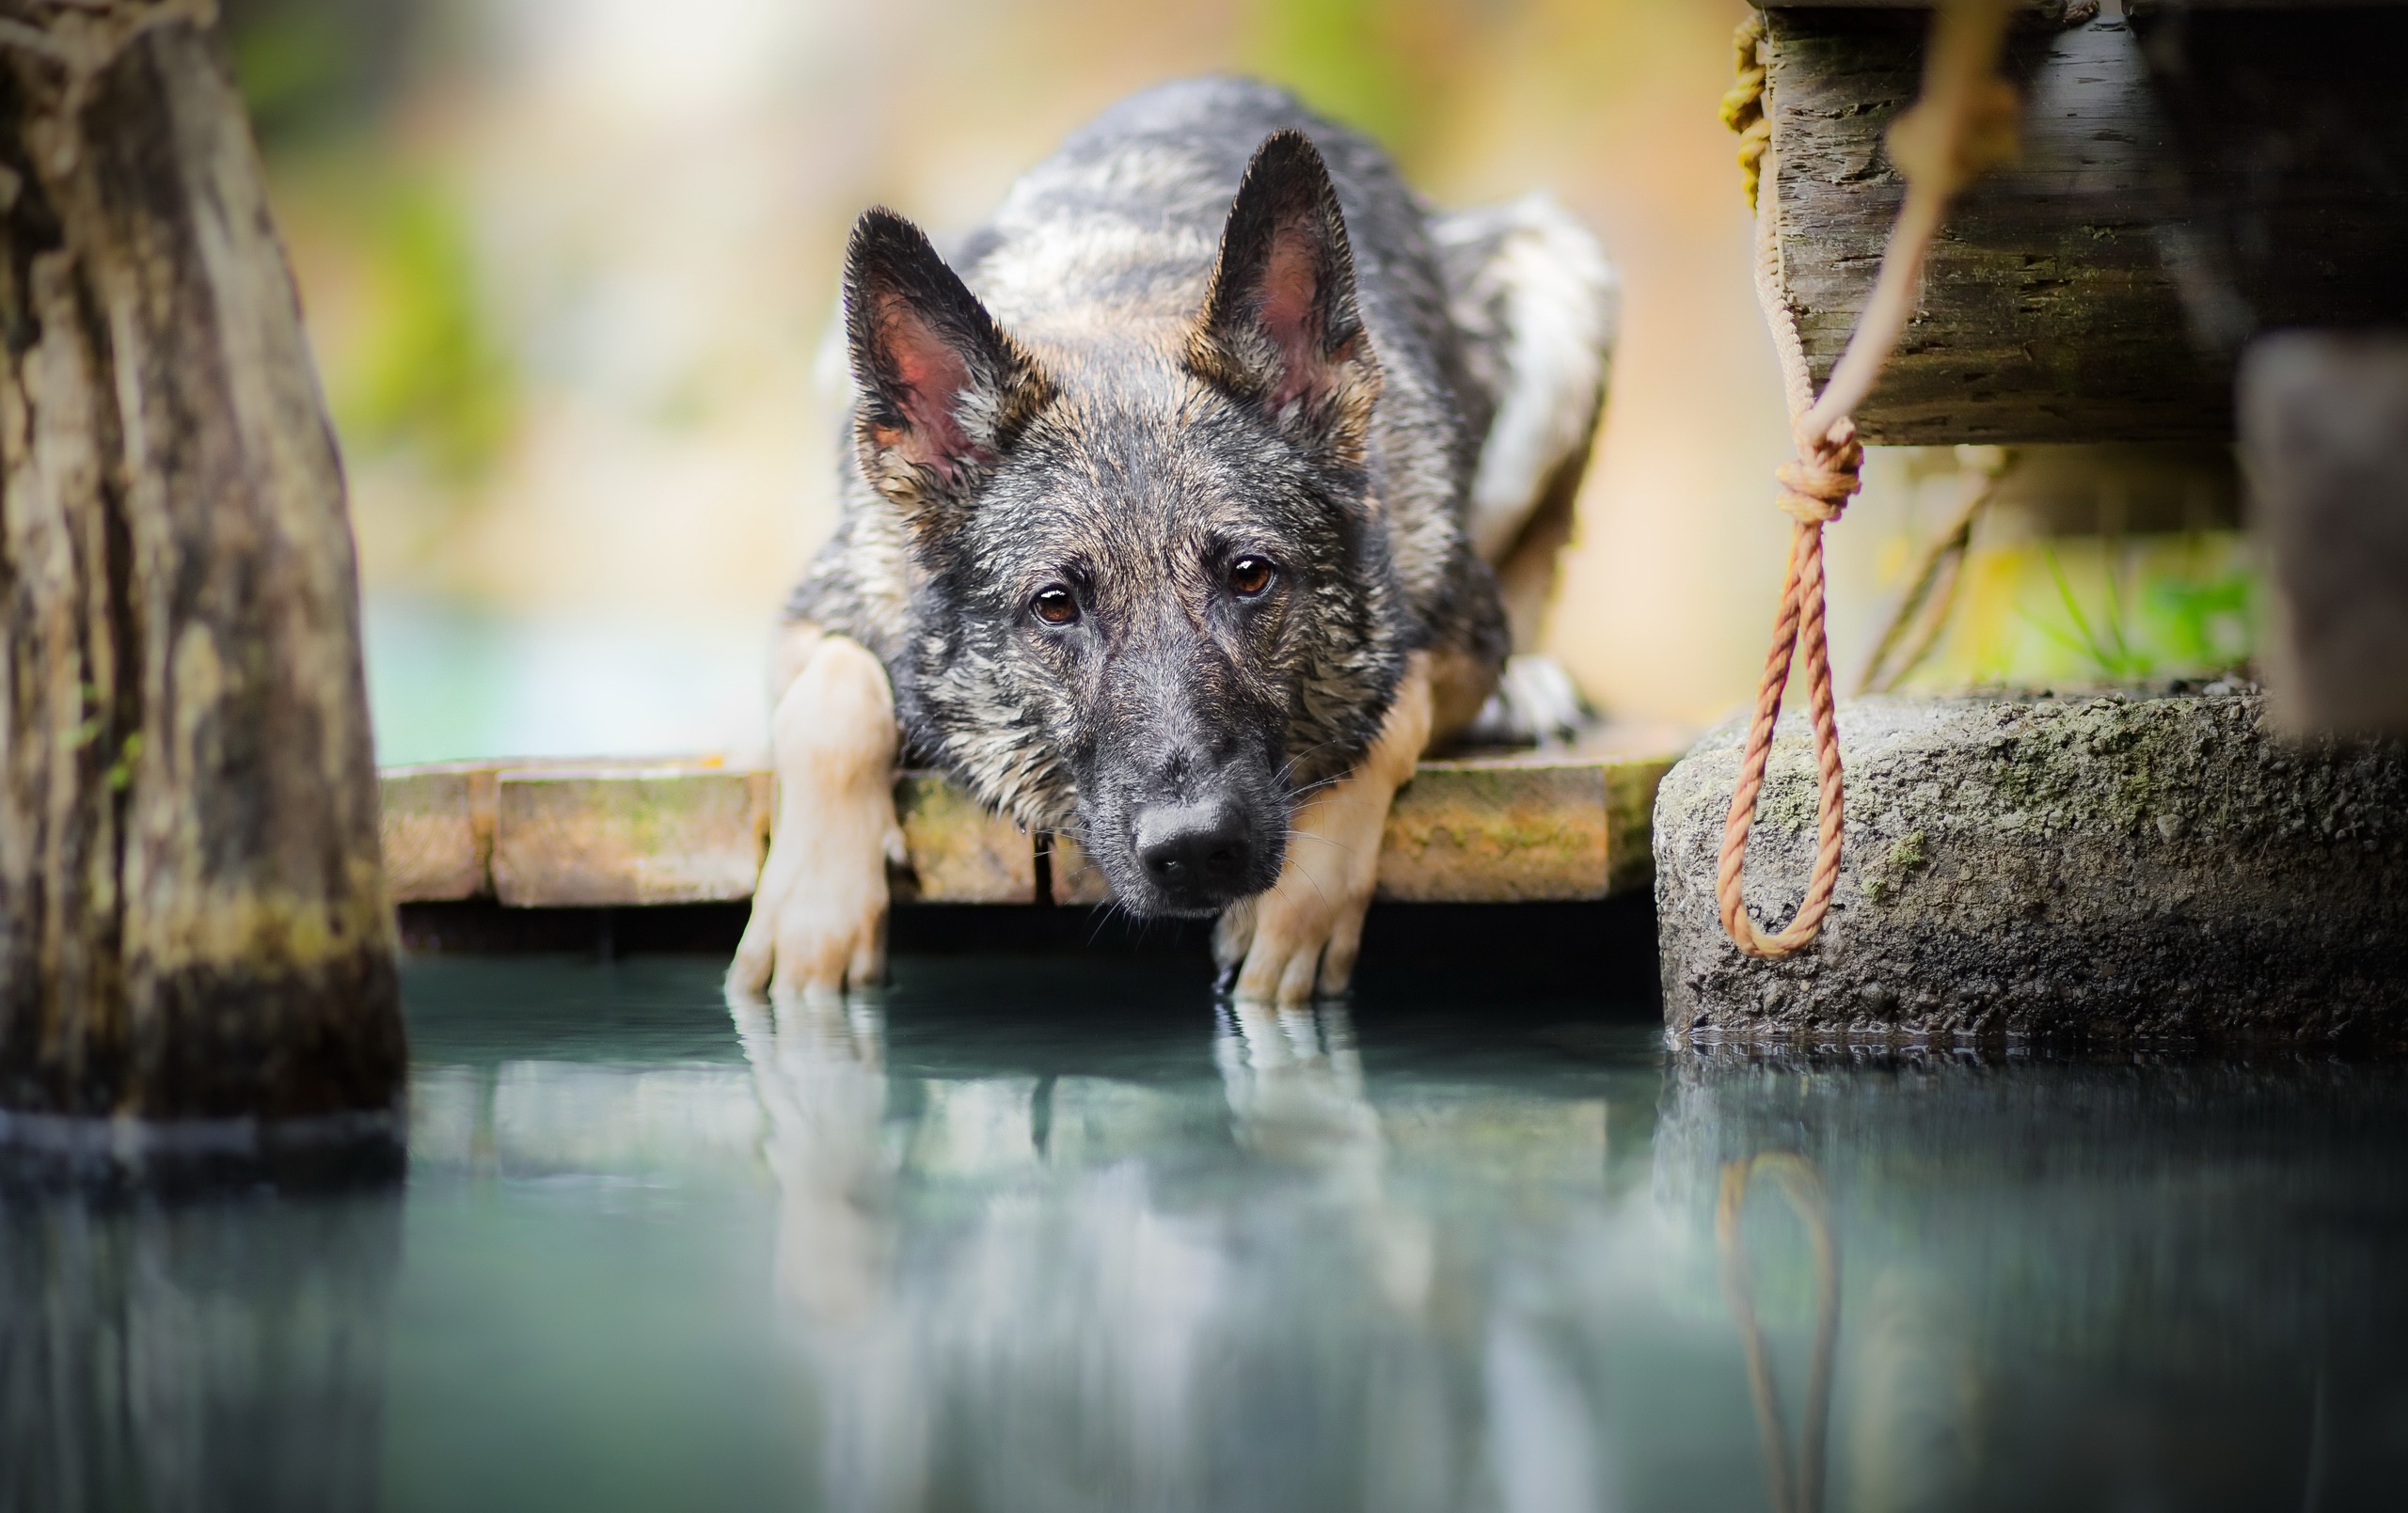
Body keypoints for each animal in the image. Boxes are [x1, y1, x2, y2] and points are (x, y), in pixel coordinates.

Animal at [732, 79, 1618, 1005]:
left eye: (1250, 576)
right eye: (1055, 606)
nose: (1194, 850)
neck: (1117, 309)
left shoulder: (1459, 631)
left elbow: (1389, 707)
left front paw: (1298, 905)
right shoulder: (825, 615)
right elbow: (834, 701)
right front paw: (814, 915)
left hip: (1558, 276)